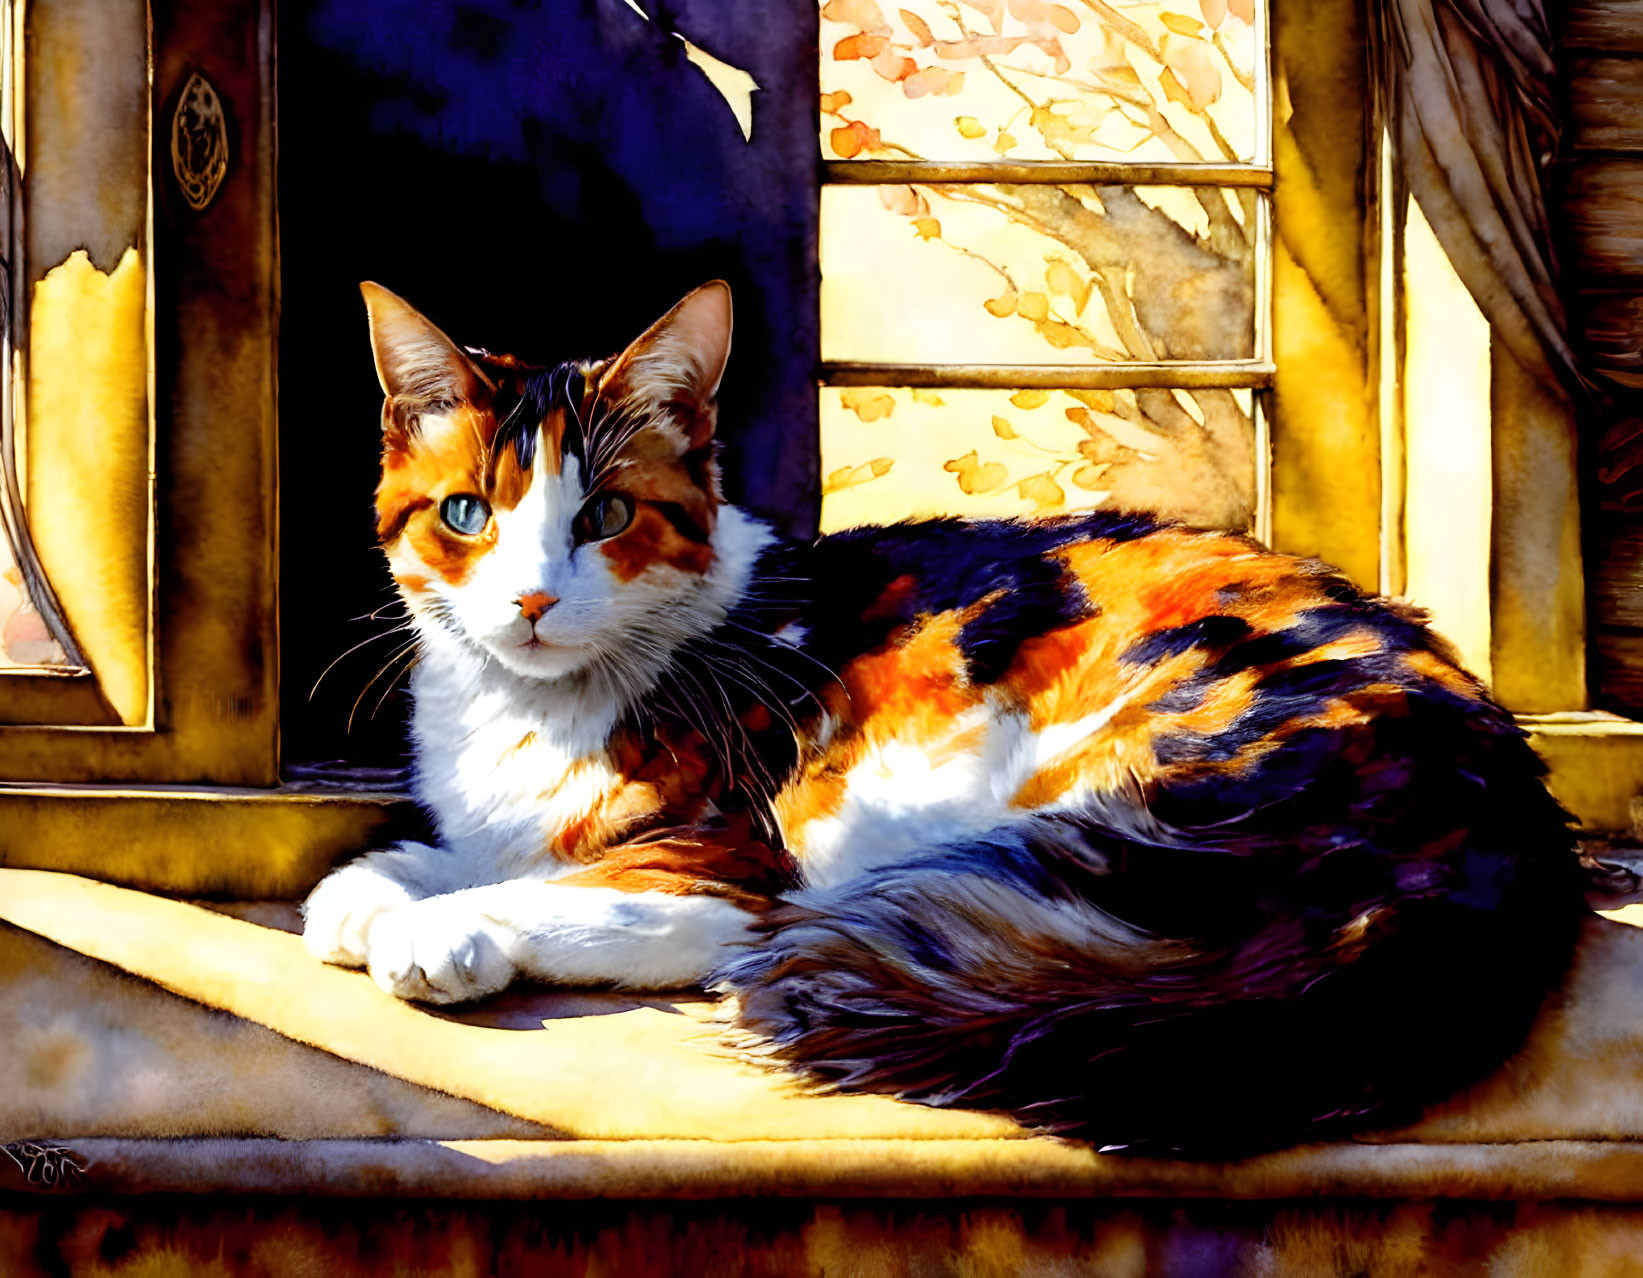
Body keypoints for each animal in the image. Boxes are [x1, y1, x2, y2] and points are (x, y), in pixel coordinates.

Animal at [302, 280, 1583, 1156]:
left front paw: (437, 934)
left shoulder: (729, 868)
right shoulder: (496, 824)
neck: (529, 711)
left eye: (605, 515)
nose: (527, 600)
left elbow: (558, 891)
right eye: (467, 514)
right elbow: (419, 862)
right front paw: (370, 900)